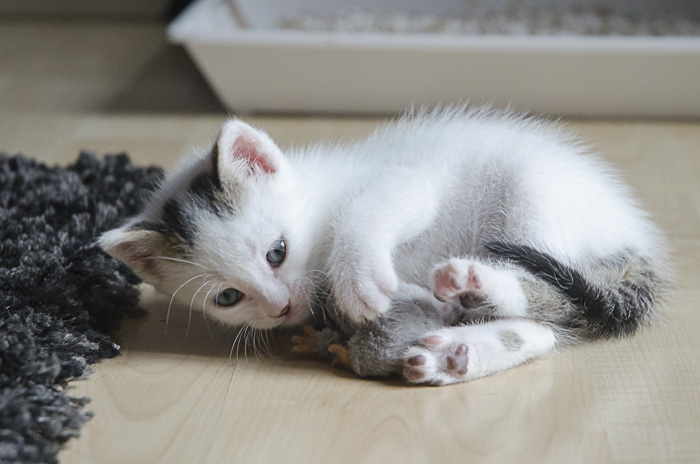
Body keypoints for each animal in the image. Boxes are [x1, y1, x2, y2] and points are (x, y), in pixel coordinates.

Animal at [100, 107, 672, 386]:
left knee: (546, 310)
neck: (315, 200)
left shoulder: (404, 180)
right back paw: (458, 355)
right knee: (544, 327)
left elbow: (366, 212)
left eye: (277, 253)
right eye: (227, 298)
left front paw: (358, 280)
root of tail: (635, 236)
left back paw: (475, 287)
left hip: (536, 202)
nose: (280, 307)